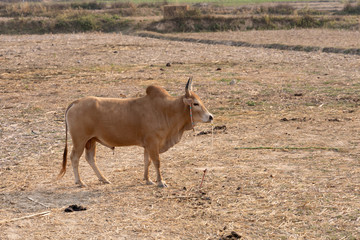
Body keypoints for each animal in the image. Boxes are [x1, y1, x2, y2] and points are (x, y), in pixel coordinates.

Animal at [57, 78, 212, 187]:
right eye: (195, 103)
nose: (210, 116)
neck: (166, 111)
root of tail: (76, 102)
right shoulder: (153, 143)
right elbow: (156, 162)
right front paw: (161, 182)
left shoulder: (147, 145)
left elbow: (146, 161)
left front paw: (148, 179)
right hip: (80, 140)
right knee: (74, 158)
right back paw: (80, 182)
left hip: (91, 140)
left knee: (90, 158)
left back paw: (103, 179)